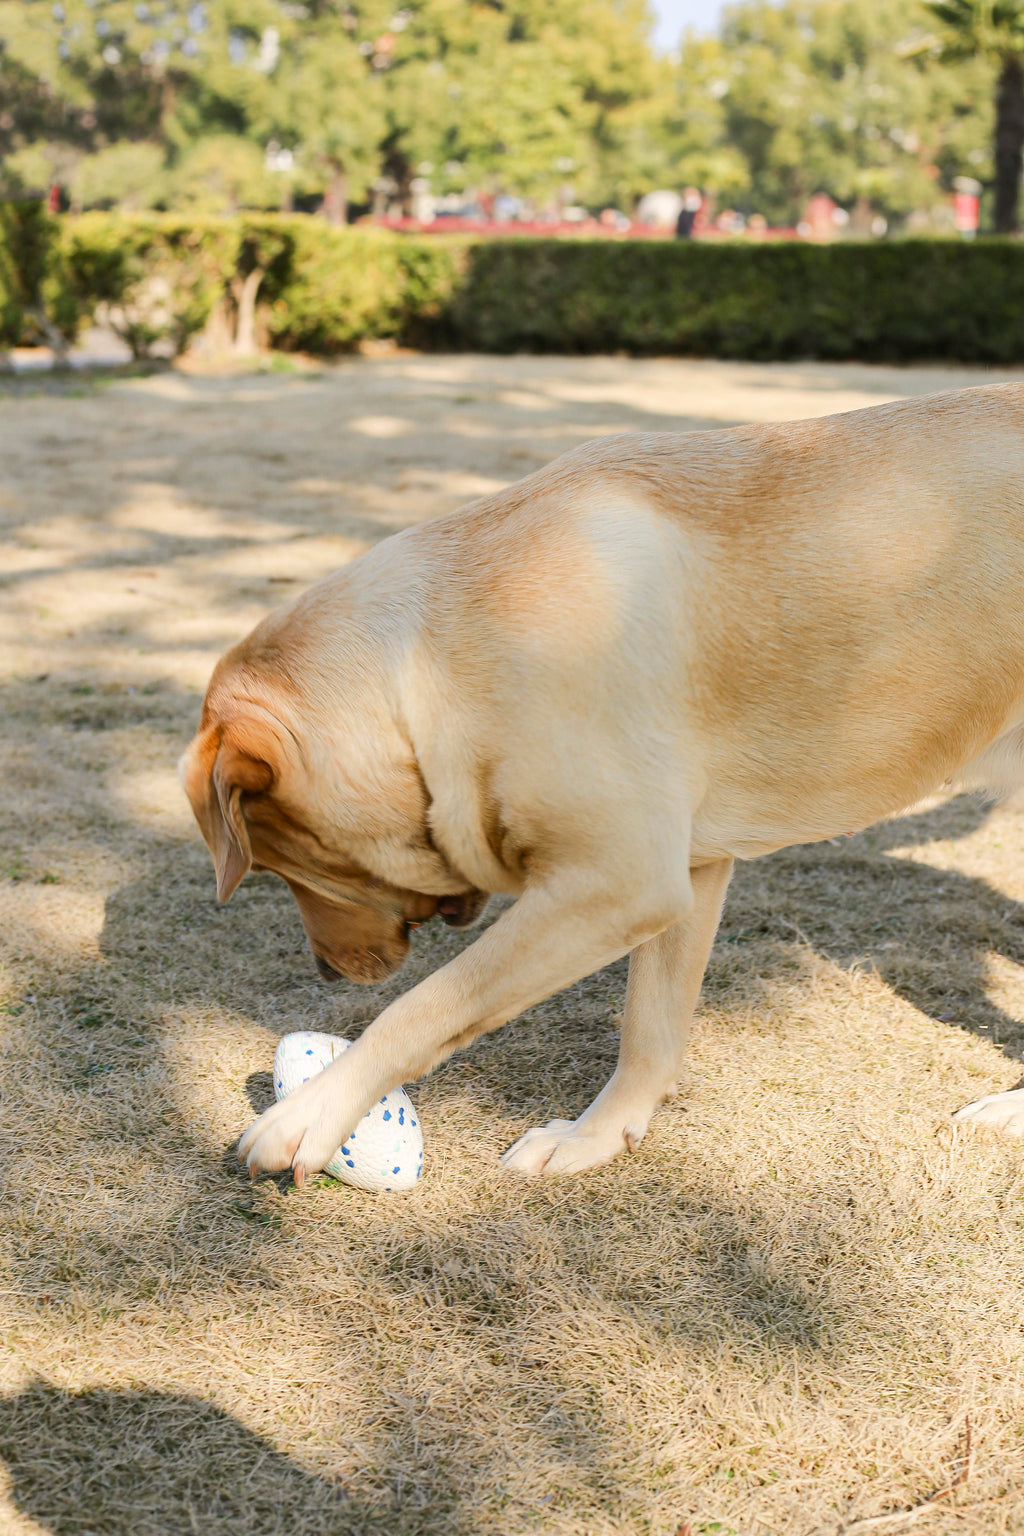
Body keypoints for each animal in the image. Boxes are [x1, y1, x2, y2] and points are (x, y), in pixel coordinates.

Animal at [180, 384, 1024, 1185]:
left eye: (290, 865)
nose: (325, 973)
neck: (427, 666)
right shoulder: (683, 871)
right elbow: (650, 1026)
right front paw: (596, 1139)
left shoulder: (617, 883)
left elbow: (427, 1005)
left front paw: (311, 1114)